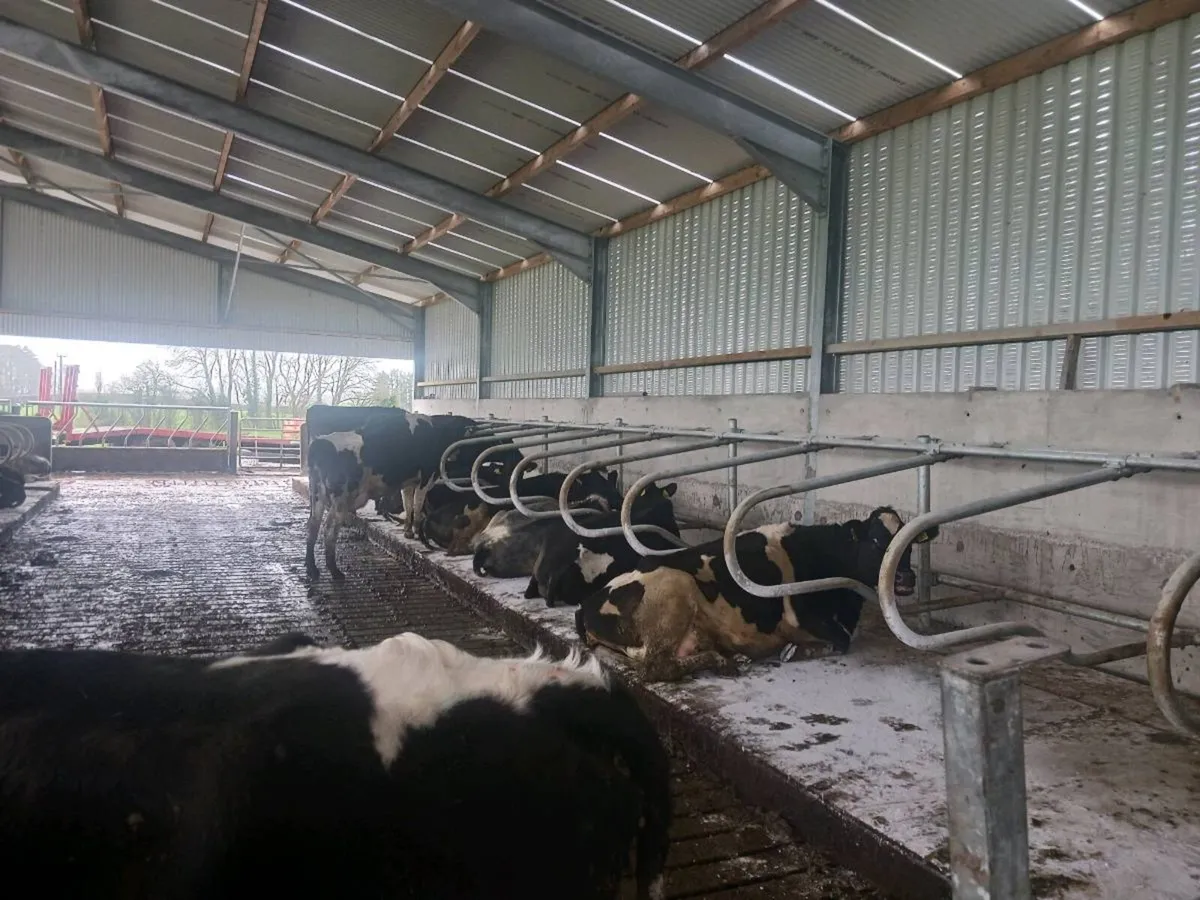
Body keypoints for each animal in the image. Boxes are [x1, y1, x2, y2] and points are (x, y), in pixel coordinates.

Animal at [305, 411, 478, 579]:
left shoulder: (409, 482)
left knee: (313, 524)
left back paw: (312, 569)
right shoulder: (425, 478)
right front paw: (417, 530)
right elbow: (417, 505)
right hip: (341, 498)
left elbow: (408, 505)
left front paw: (408, 531)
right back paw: (334, 571)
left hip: (317, 494)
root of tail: (320, 443)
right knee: (329, 528)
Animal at [575, 507, 937, 682]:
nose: (905, 578)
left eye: (909, 545)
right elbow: (841, 641)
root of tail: (585, 606)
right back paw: (724, 662)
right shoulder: (802, 616)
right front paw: (795, 651)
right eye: (876, 541)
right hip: (674, 589)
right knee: (656, 668)